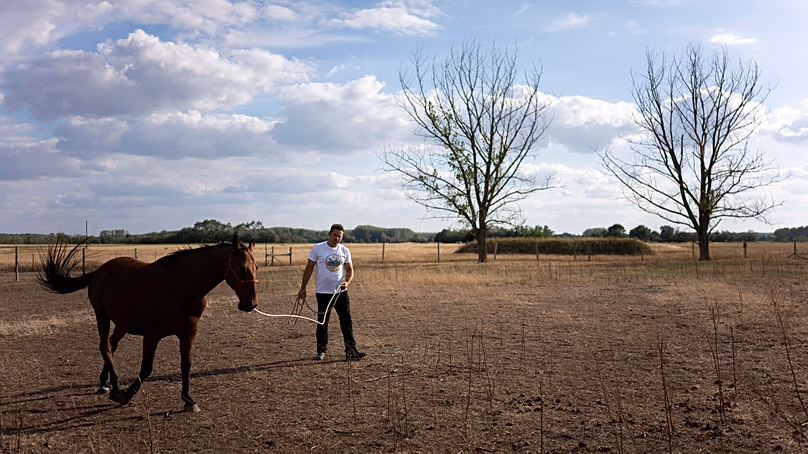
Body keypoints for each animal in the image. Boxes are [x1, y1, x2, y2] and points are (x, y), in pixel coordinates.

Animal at [38, 234, 258, 412]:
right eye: (242, 268)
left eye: (256, 267)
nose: (250, 303)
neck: (181, 288)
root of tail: (100, 270)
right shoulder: (152, 334)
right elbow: (146, 368)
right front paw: (127, 394)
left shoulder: (188, 333)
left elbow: (186, 365)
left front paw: (188, 400)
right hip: (102, 316)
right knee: (105, 347)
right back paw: (115, 387)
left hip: (122, 323)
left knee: (112, 345)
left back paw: (104, 382)